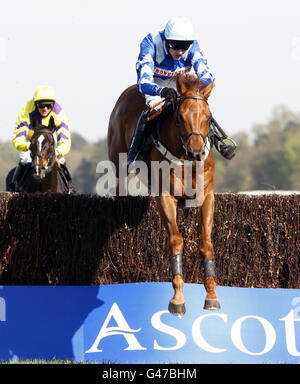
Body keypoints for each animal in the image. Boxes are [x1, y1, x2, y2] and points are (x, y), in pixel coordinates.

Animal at [106, 73, 219, 316]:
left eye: (208, 118)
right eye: (180, 117)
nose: (196, 152)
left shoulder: (207, 197)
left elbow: (206, 243)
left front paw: (212, 296)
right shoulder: (165, 196)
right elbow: (176, 240)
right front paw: (177, 299)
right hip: (118, 165)